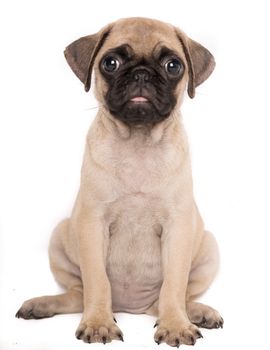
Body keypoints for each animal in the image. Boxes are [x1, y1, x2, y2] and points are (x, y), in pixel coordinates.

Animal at [17, 18, 224, 348]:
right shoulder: (93, 224)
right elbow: (97, 282)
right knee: (78, 295)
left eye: (173, 66)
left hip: (209, 248)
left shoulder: (178, 228)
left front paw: (176, 325)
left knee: (172, 298)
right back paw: (43, 304)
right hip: (60, 236)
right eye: (110, 63)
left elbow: (174, 285)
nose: (141, 73)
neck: (138, 141)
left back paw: (197, 311)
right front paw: (98, 323)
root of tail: (132, 308)